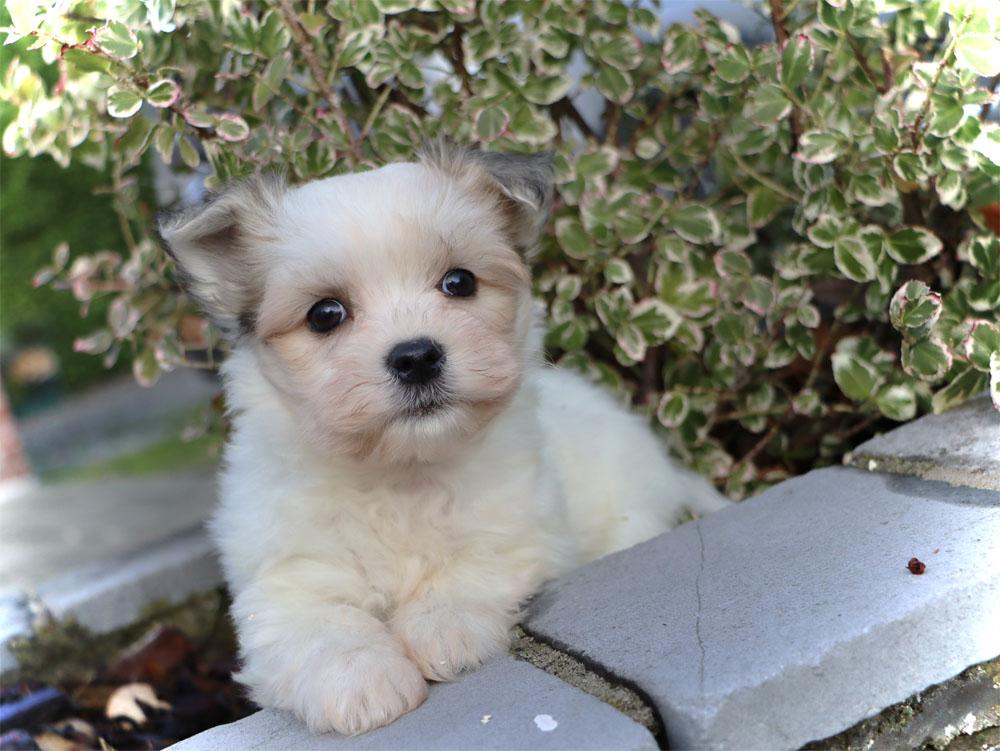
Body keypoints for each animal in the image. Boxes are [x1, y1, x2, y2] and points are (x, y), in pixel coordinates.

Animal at [160, 144, 729, 736]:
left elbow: (473, 565)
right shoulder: (286, 574)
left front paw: (440, 628)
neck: (402, 472)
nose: (416, 357)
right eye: (325, 314)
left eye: (459, 282)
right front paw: (360, 680)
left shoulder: (519, 524)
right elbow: (319, 622)